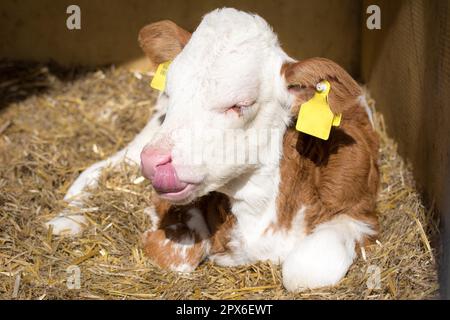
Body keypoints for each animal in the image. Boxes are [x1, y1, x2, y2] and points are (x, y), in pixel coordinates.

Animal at [47, 8, 378, 292]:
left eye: (241, 104)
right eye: (171, 91)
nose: (155, 162)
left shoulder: (361, 212)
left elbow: (306, 270)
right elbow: (176, 254)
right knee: (99, 168)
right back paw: (66, 219)